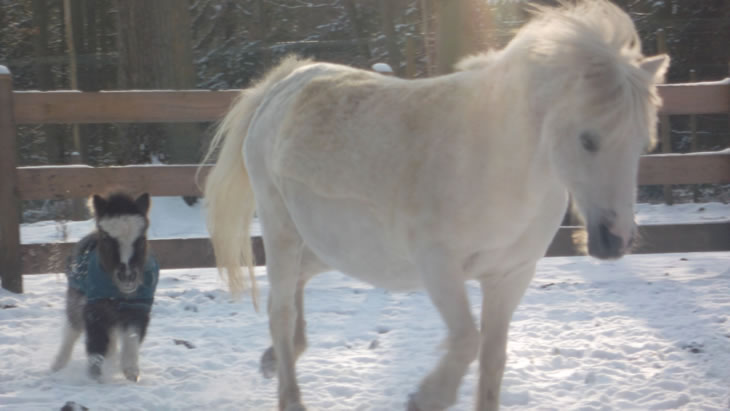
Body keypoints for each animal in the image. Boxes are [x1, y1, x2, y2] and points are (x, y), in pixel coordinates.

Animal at [51, 192, 159, 384]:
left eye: (141, 239)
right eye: (106, 238)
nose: (127, 276)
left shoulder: (139, 307)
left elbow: (131, 338)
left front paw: (131, 373)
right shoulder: (95, 308)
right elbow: (96, 342)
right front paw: (95, 377)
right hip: (75, 300)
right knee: (72, 330)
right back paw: (58, 364)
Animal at [199, 1, 664, 410]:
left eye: (642, 141)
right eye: (588, 139)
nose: (616, 240)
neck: (496, 166)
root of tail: (285, 82)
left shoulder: (511, 275)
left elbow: (492, 361)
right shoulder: (439, 266)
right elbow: (467, 340)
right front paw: (426, 397)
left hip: (332, 245)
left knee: (298, 285)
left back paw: (276, 359)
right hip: (280, 227)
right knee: (278, 310)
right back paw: (290, 393)